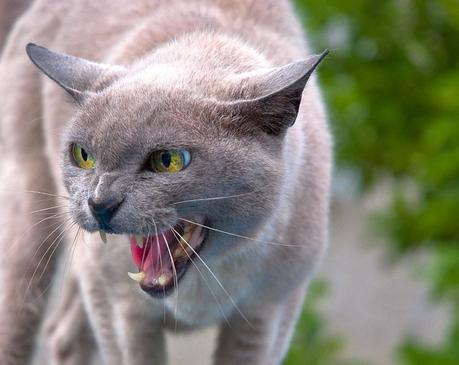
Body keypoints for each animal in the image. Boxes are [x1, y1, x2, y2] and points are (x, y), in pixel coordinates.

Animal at [0, 1, 330, 362]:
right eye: (83, 155)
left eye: (168, 161)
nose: (99, 203)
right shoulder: (121, 309)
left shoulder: (268, 316)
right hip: (30, 228)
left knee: (63, 334)